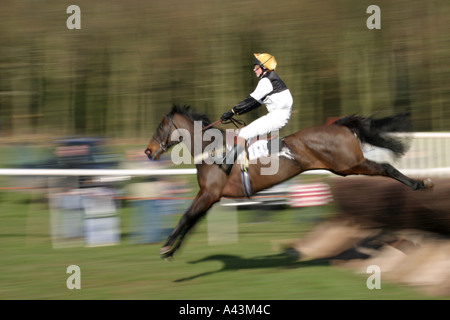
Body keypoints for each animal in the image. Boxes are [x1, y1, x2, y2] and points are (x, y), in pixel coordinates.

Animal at [145, 105, 432, 260]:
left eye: (160, 127)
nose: (148, 151)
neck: (212, 150)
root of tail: (338, 125)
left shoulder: (209, 194)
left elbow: (186, 217)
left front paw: (165, 247)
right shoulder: (210, 196)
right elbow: (191, 221)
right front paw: (171, 250)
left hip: (350, 164)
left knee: (386, 168)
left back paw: (420, 184)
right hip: (346, 167)